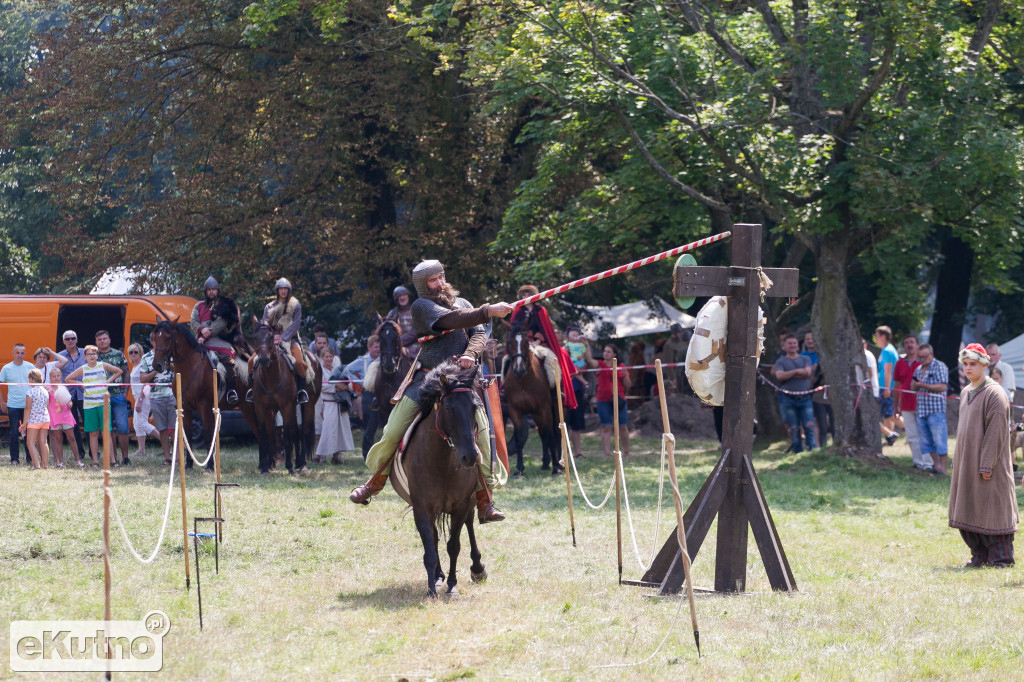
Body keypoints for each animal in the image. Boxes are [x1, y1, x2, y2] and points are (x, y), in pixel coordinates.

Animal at [149, 319, 260, 466]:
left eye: (167, 338)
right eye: (154, 337)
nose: (157, 365)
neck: (191, 368)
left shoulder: (205, 407)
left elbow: (208, 435)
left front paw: (210, 465)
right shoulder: (186, 408)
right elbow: (188, 436)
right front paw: (189, 465)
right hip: (247, 408)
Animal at [248, 323, 319, 473]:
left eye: (271, 337)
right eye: (255, 337)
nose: (264, 359)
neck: (271, 377)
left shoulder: (286, 407)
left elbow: (286, 435)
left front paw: (289, 467)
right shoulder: (262, 408)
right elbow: (266, 433)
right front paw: (266, 467)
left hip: (308, 405)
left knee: (303, 430)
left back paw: (302, 464)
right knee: (294, 430)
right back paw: (296, 463)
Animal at [391, 360, 487, 593]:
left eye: (474, 407)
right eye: (449, 408)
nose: (470, 456)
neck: (442, 463)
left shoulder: (461, 505)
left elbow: (454, 545)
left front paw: (452, 586)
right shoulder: (422, 508)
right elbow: (430, 550)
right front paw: (432, 589)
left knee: (469, 525)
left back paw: (477, 568)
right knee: (434, 537)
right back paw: (438, 576)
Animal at [501, 319, 561, 475]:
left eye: (526, 342)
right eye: (509, 343)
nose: (518, 369)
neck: (523, 382)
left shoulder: (544, 409)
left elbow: (550, 435)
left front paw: (556, 468)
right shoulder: (515, 411)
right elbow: (519, 440)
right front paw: (519, 469)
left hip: (557, 409)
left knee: (555, 433)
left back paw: (559, 462)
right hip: (535, 414)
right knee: (542, 433)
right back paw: (546, 463)